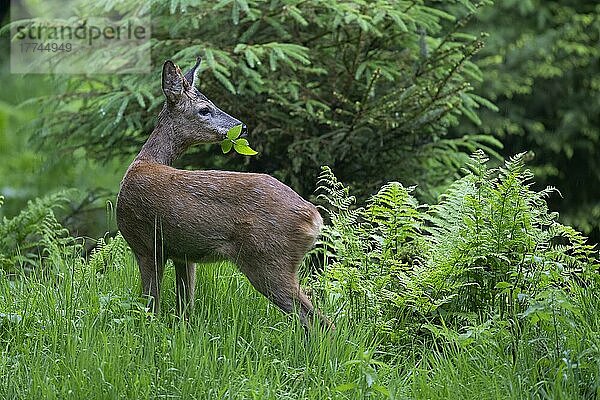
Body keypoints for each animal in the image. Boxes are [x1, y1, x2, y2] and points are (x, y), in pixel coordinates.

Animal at [115, 57, 330, 330]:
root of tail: (314, 218)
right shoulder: (184, 254)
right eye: (205, 109)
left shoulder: (146, 244)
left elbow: (151, 304)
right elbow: (185, 306)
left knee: (317, 320)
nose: (243, 127)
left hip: (269, 259)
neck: (143, 162)